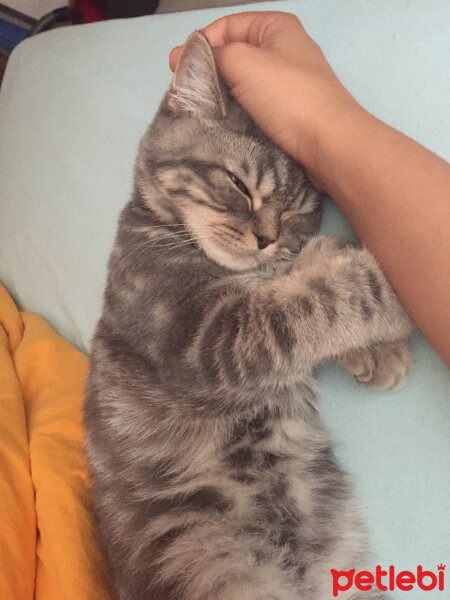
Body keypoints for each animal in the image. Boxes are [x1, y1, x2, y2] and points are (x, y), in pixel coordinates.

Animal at [84, 30, 414, 596]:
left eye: (295, 211)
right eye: (239, 185)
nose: (266, 237)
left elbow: (304, 275)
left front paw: (378, 348)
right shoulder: (207, 340)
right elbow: (323, 297)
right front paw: (385, 292)